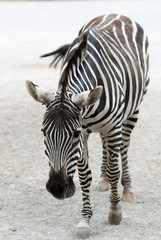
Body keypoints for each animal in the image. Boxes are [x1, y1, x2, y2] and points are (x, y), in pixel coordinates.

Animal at [25, 13, 150, 236]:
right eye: (43, 132)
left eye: (73, 134)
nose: (57, 187)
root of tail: (116, 13)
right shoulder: (86, 128)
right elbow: (84, 176)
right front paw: (85, 220)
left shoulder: (110, 127)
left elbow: (114, 170)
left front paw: (114, 212)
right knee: (105, 145)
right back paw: (103, 180)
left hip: (132, 111)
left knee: (124, 148)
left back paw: (127, 188)